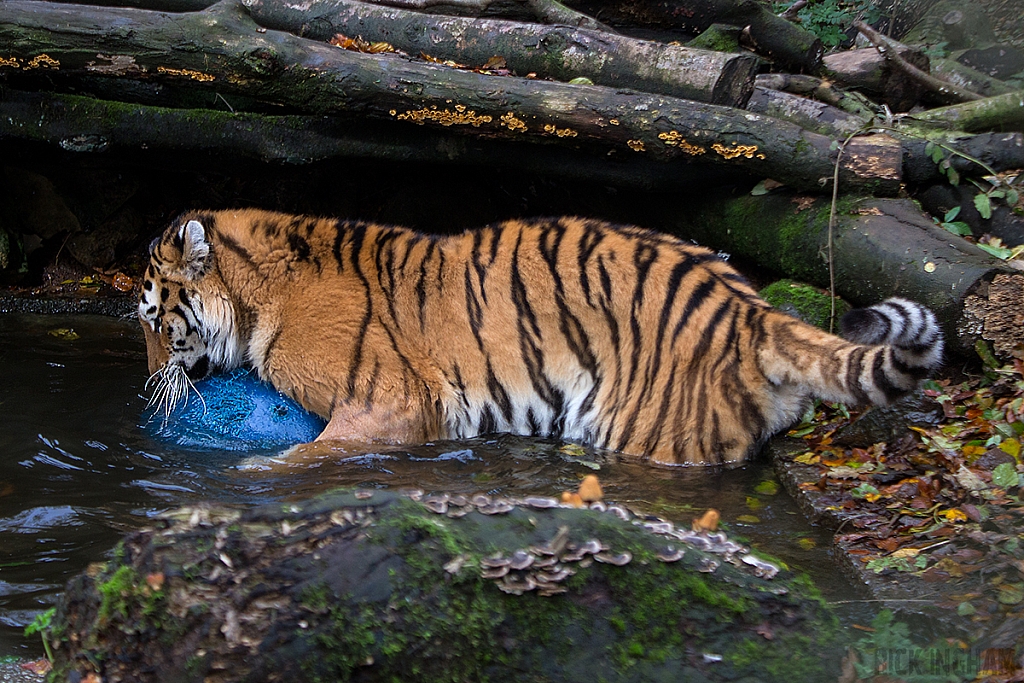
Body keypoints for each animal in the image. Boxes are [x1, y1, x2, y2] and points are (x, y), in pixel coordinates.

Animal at [138, 206, 942, 464]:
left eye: (151, 319)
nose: (147, 380)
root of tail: (754, 311)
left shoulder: (391, 404)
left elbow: (301, 459)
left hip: (647, 428)